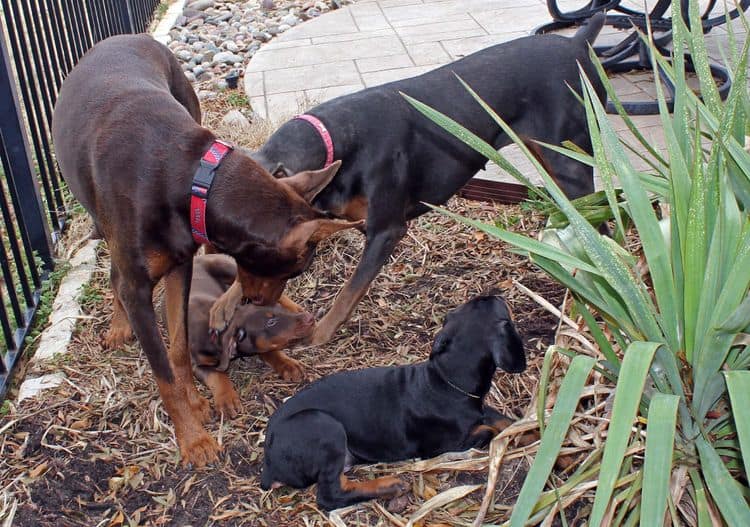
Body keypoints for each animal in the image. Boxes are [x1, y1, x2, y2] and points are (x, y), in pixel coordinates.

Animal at [191, 254, 318, 418]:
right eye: (270, 322)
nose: (310, 319)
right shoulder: (197, 365)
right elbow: (217, 375)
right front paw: (226, 400)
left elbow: (271, 351)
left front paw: (289, 365)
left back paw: (295, 307)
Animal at [210, 13, 604, 346]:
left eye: (291, 267)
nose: (253, 301)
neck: (335, 140)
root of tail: (575, 42)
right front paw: (222, 304)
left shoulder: (385, 230)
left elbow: (347, 293)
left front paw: (319, 334)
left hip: (570, 160)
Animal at [264, 292, 528, 512]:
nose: (497, 293)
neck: (446, 381)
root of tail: (268, 460)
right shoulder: (447, 444)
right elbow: (489, 430)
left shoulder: (480, 408)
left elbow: (503, 420)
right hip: (323, 426)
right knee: (329, 496)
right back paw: (388, 486)